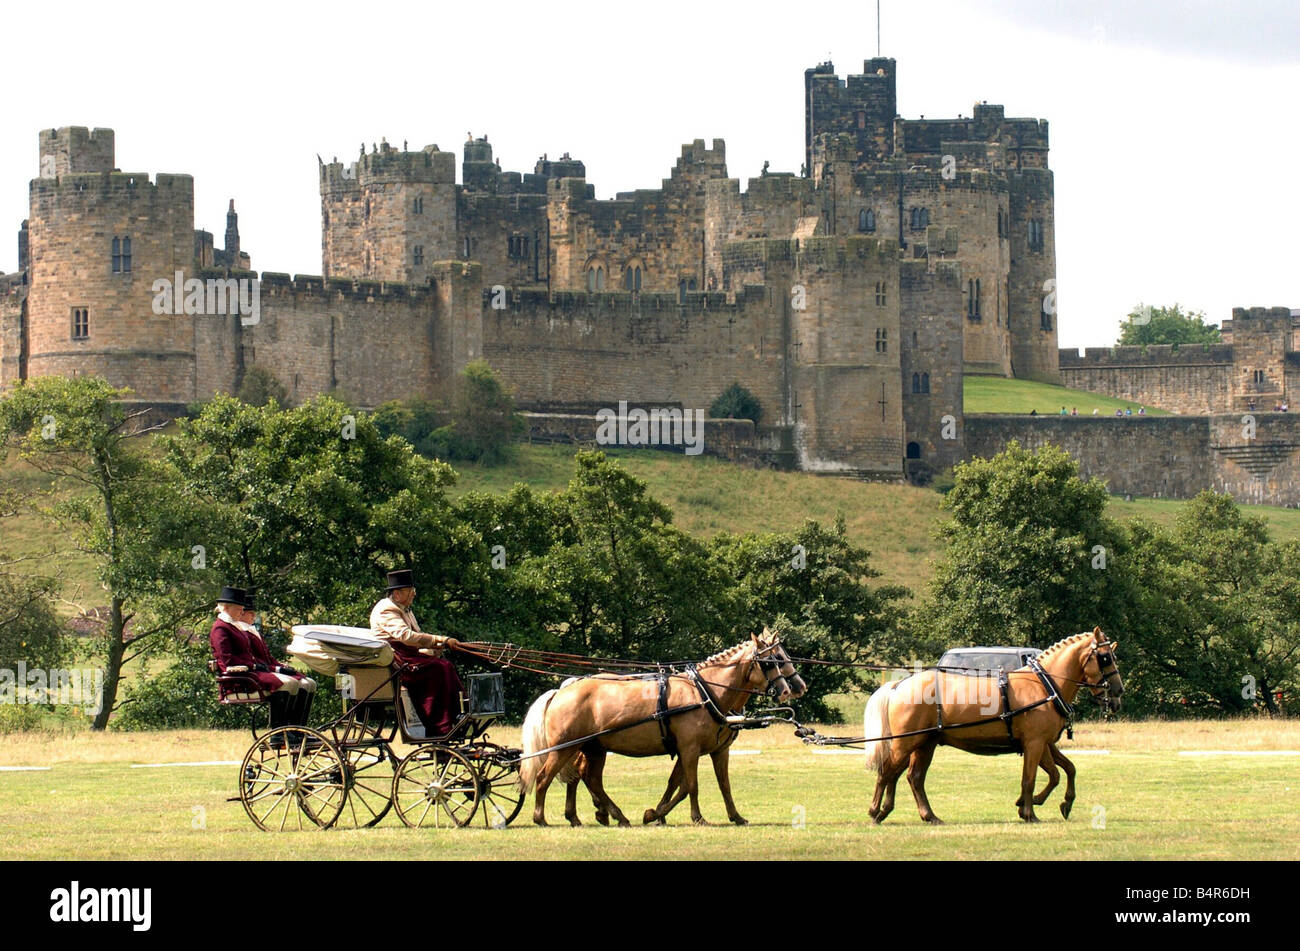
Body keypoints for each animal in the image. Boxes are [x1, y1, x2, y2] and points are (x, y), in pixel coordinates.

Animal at [514, 631, 800, 826]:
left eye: (780, 658)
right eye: (771, 660)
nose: (789, 689)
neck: (705, 692)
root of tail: (560, 691)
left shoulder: (712, 750)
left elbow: (718, 785)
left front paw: (735, 816)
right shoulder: (690, 748)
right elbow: (690, 786)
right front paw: (693, 817)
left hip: (593, 748)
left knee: (588, 778)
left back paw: (609, 816)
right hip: (564, 748)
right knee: (546, 777)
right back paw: (541, 817)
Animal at [863, 628, 1118, 821]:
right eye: (1105, 657)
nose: (1118, 692)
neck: (1043, 685)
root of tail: (899, 685)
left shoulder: (1044, 743)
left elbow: (1064, 770)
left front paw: (1057, 803)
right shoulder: (1035, 743)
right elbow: (1031, 778)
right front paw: (1029, 812)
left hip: (925, 743)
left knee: (911, 777)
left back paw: (925, 815)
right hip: (906, 742)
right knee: (888, 771)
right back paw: (876, 810)